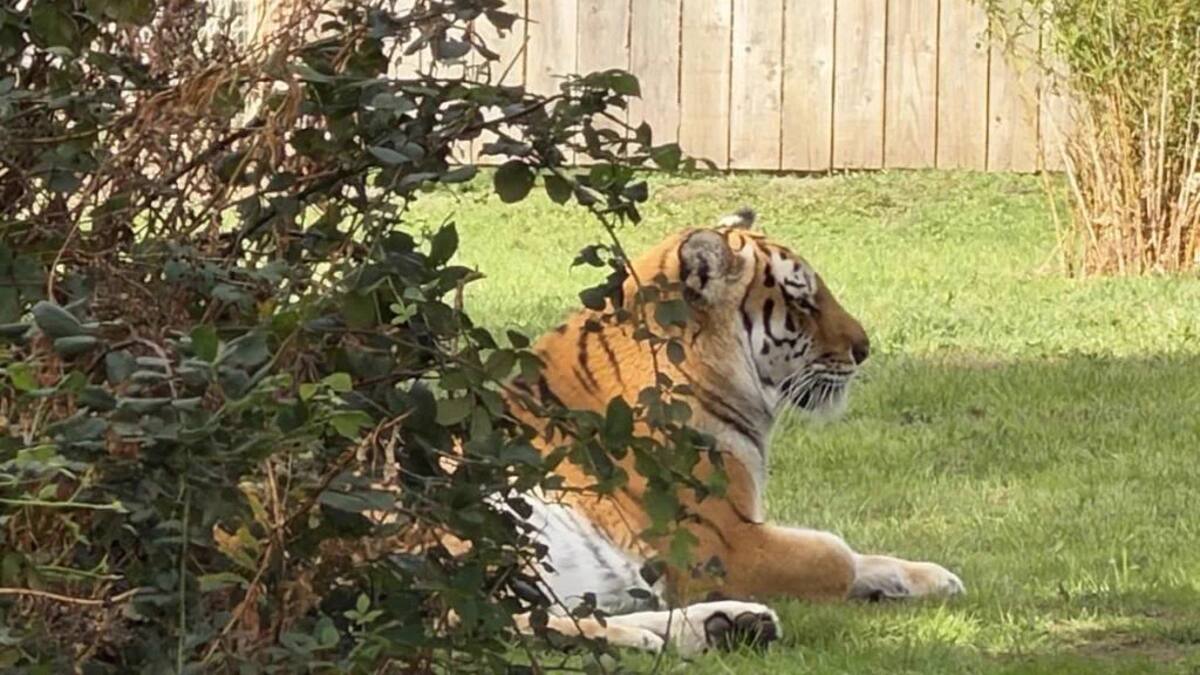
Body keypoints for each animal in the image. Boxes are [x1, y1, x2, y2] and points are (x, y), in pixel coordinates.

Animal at [490, 208, 965, 656]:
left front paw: (935, 578)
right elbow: (836, 555)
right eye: (803, 302)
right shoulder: (724, 543)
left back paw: (728, 626)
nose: (863, 350)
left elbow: (865, 558)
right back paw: (650, 637)